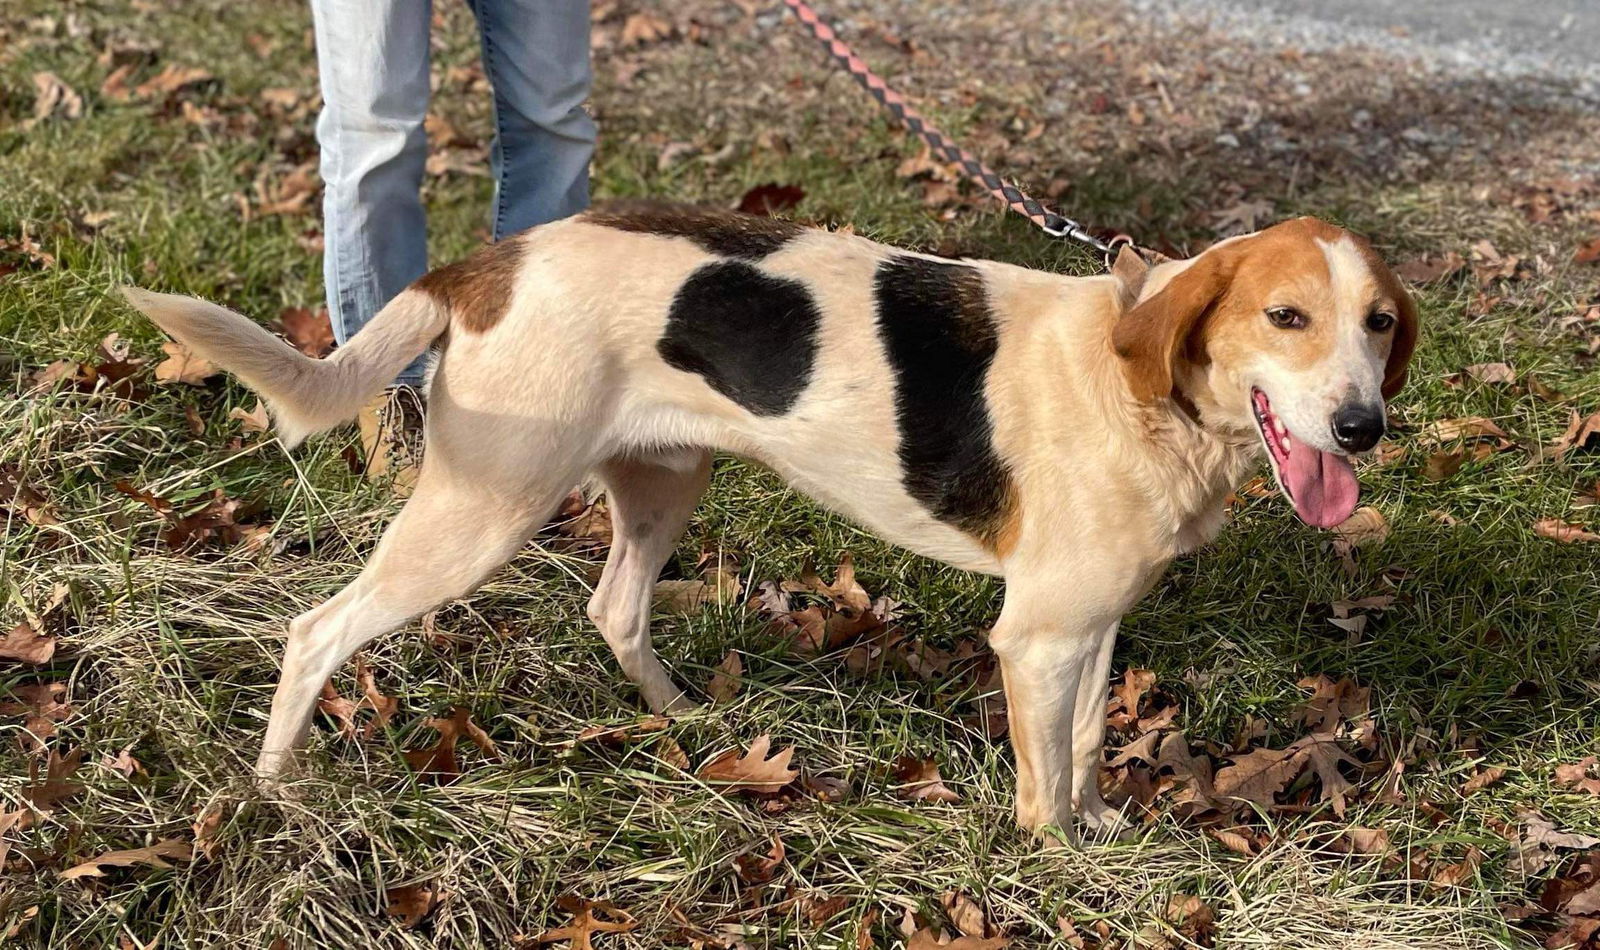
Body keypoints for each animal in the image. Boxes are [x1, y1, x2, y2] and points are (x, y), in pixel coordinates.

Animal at [131, 199, 1420, 838]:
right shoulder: (1035, 638)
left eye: (1378, 323)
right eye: (1287, 316)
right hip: (479, 511)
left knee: (613, 607)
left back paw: (681, 724)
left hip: (664, 482)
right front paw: (1057, 867)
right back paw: (276, 789)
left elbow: (1087, 748)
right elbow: (1041, 786)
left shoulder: (1086, 628)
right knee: (315, 628)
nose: (1362, 428)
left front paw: (1104, 827)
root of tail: (488, 263)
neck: (1146, 391)